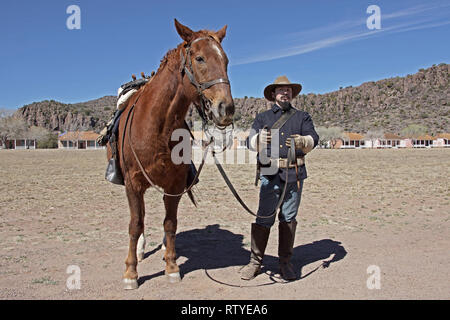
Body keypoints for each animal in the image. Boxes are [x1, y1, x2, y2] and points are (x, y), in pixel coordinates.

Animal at [108, 20, 234, 290]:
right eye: (199, 58)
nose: (226, 108)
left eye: (226, 60)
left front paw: (172, 265)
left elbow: (170, 223)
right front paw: (131, 272)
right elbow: (135, 224)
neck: (157, 125)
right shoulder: (133, 184)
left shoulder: (174, 185)